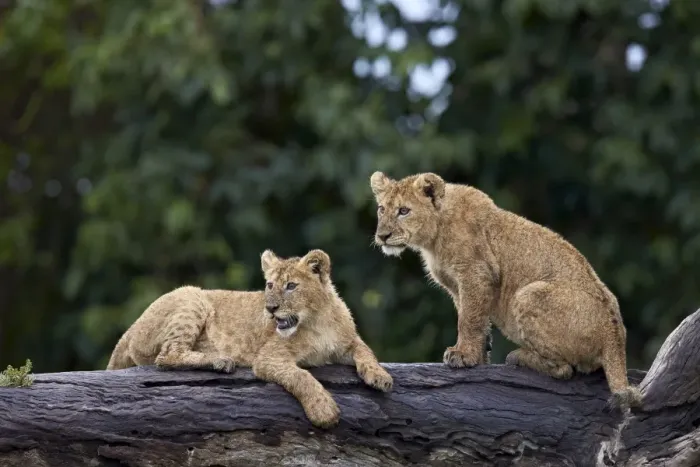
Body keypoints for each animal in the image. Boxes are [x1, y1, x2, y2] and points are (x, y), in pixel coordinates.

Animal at [106, 249, 393, 427]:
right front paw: (323, 410)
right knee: (168, 355)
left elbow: (366, 352)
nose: (270, 308)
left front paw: (380, 377)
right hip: (192, 296)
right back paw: (221, 360)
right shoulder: (269, 357)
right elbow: (301, 377)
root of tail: (131, 328)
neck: (317, 319)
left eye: (291, 286)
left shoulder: (348, 342)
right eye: (269, 285)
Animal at [369, 171, 642, 410]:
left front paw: (462, 355)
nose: (382, 236)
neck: (434, 236)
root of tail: (615, 337)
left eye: (404, 211)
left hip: (528, 294)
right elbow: (477, 321)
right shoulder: (459, 286)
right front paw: (479, 357)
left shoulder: (476, 274)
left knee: (565, 369)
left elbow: (468, 320)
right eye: (381, 209)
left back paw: (518, 357)